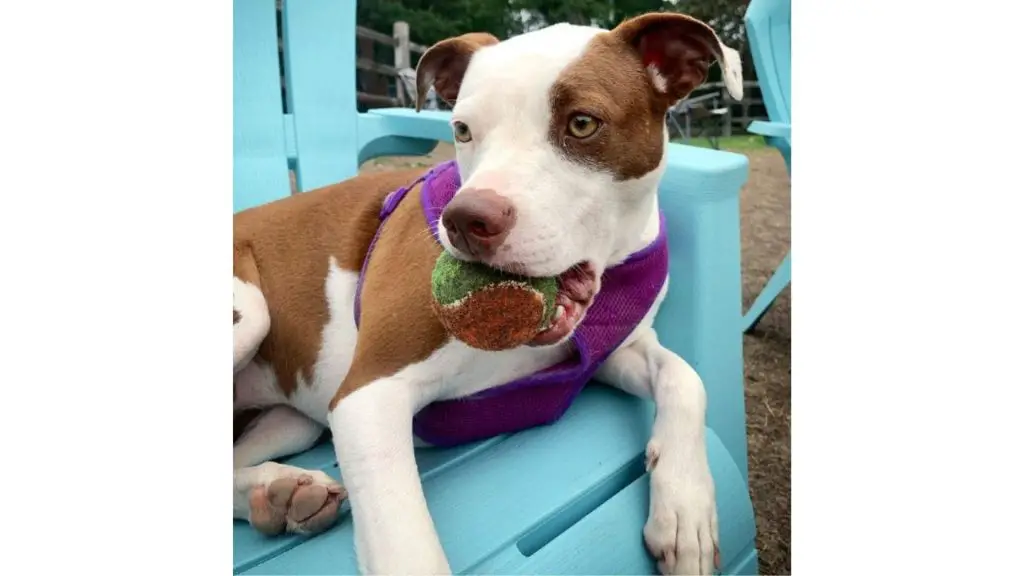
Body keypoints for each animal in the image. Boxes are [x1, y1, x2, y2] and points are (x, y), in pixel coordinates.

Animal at [233, 10, 745, 573]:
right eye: (462, 130)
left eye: (582, 123)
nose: (464, 220)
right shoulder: (367, 395)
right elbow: (407, 548)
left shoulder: (612, 352)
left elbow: (686, 377)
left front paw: (686, 509)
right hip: (251, 312)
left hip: (288, 419)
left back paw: (277, 493)